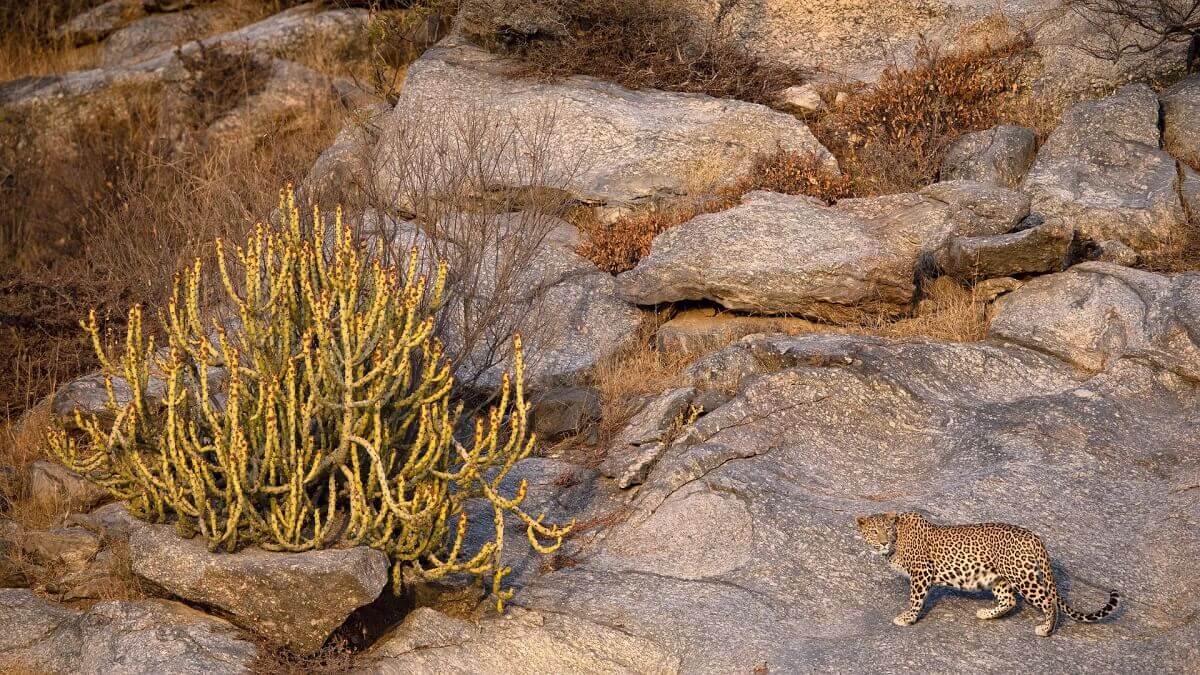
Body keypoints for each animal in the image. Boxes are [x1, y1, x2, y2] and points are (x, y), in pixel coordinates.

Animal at [855, 511, 1120, 636]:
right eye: (874, 531)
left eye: (887, 530)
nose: (883, 542)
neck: (898, 541)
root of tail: (1035, 537)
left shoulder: (922, 572)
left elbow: (915, 599)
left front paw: (907, 618)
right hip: (999, 578)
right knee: (1010, 600)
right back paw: (986, 614)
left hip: (1022, 576)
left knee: (1048, 600)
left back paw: (1046, 630)